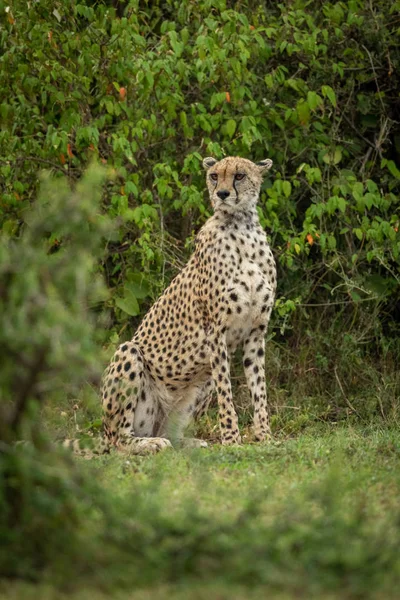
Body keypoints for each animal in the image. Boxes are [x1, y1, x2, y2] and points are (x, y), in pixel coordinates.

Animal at [78, 156, 276, 454]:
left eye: (239, 176)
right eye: (214, 176)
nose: (222, 194)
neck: (241, 226)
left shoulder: (256, 331)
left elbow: (259, 387)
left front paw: (265, 436)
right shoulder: (215, 331)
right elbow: (227, 393)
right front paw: (232, 439)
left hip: (200, 384)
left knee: (171, 433)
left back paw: (189, 442)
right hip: (128, 353)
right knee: (119, 441)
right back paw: (149, 443)